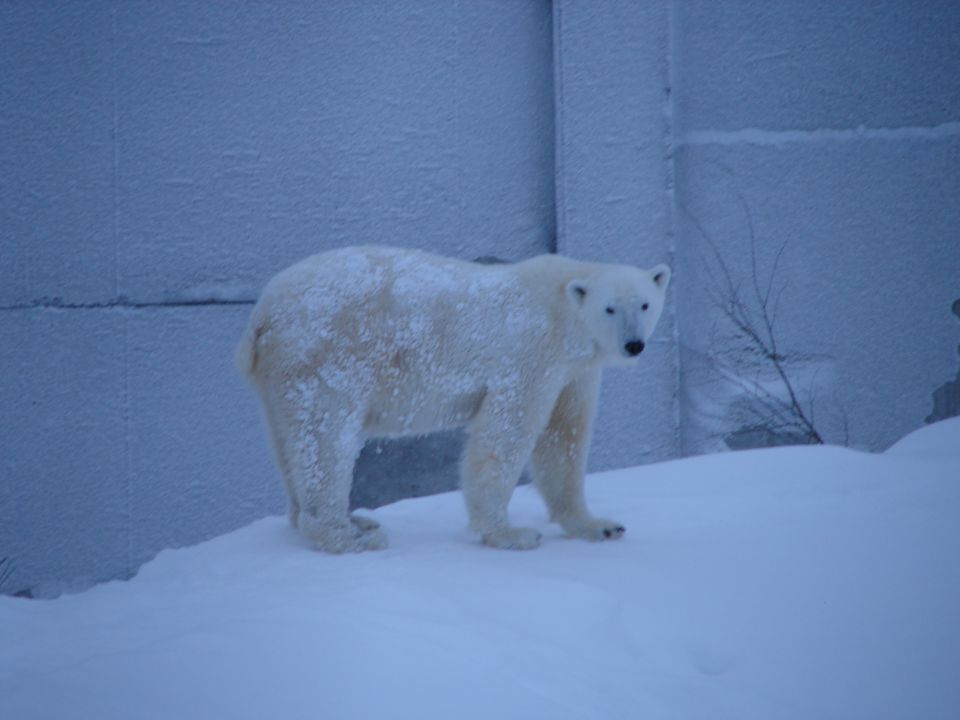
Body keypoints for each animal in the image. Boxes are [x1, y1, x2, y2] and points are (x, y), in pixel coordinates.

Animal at [236, 245, 672, 556]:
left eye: (645, 304)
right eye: (609, 308)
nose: (634, 344)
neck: (561, 306)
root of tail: (262, 313)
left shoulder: (574, 371)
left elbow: (563, 437)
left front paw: (600, 525)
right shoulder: (530, 352)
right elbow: (506, 435)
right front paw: (510, 533)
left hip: (280, 378)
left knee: (290, 442)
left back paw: (351, 521)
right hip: (325, 357)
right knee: (327, 441)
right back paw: (350, 535)